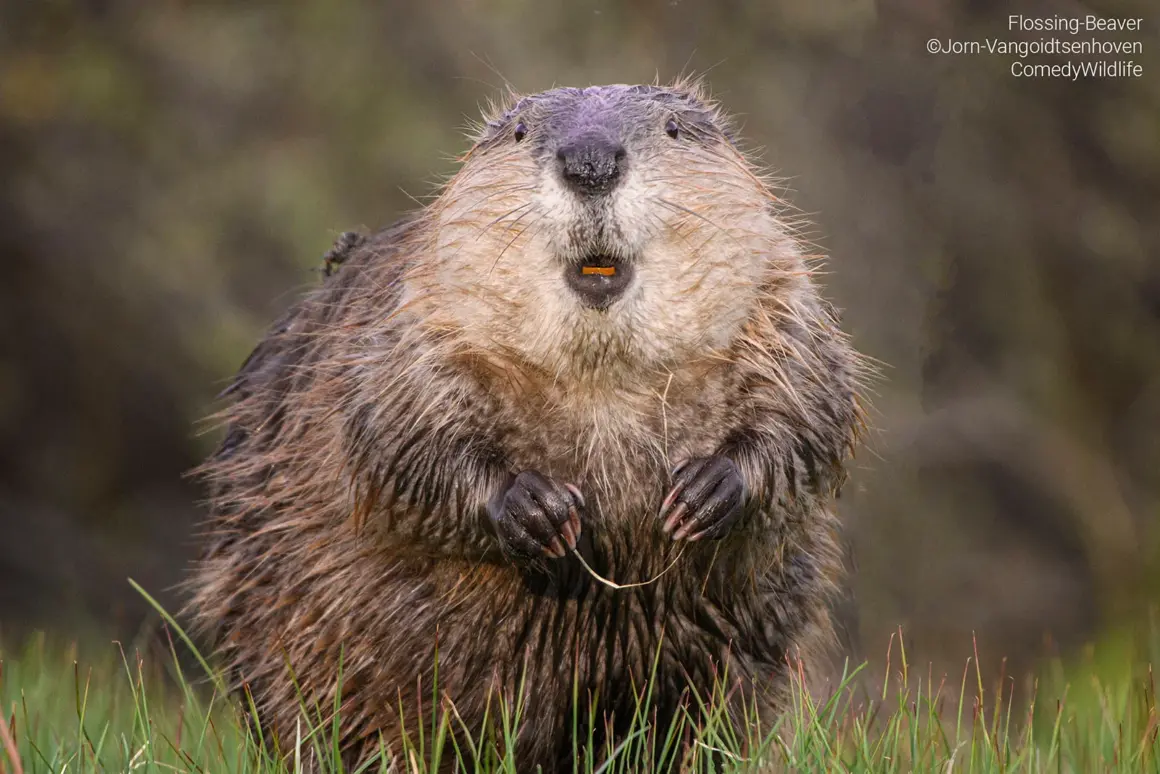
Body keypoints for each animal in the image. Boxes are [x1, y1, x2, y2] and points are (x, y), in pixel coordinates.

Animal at [185, 81, 867, 770]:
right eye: (519, 133)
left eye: (674, 128)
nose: (590, 162)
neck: (603, 378)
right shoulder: (415, 317)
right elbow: (396, 434)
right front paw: (541, 512)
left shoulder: (781, 300)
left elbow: (815, 408)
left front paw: (701, 495)